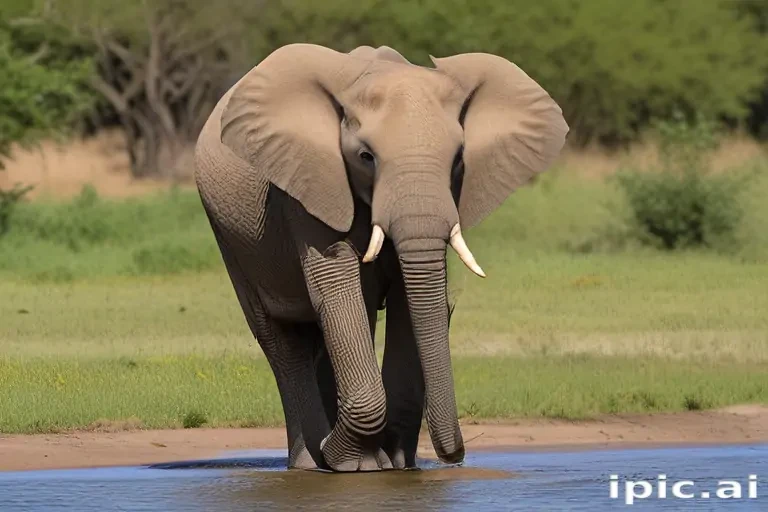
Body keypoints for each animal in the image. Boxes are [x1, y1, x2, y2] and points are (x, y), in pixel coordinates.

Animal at [194, 43, 568, 472]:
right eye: (365, 156)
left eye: (459, 159)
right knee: (281, 340)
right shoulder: (309, 184)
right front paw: (351, 462)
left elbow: (407, 298)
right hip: (230, 237)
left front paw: (395, 464)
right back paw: (313, 461)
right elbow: (337, 290)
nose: (455, 456)